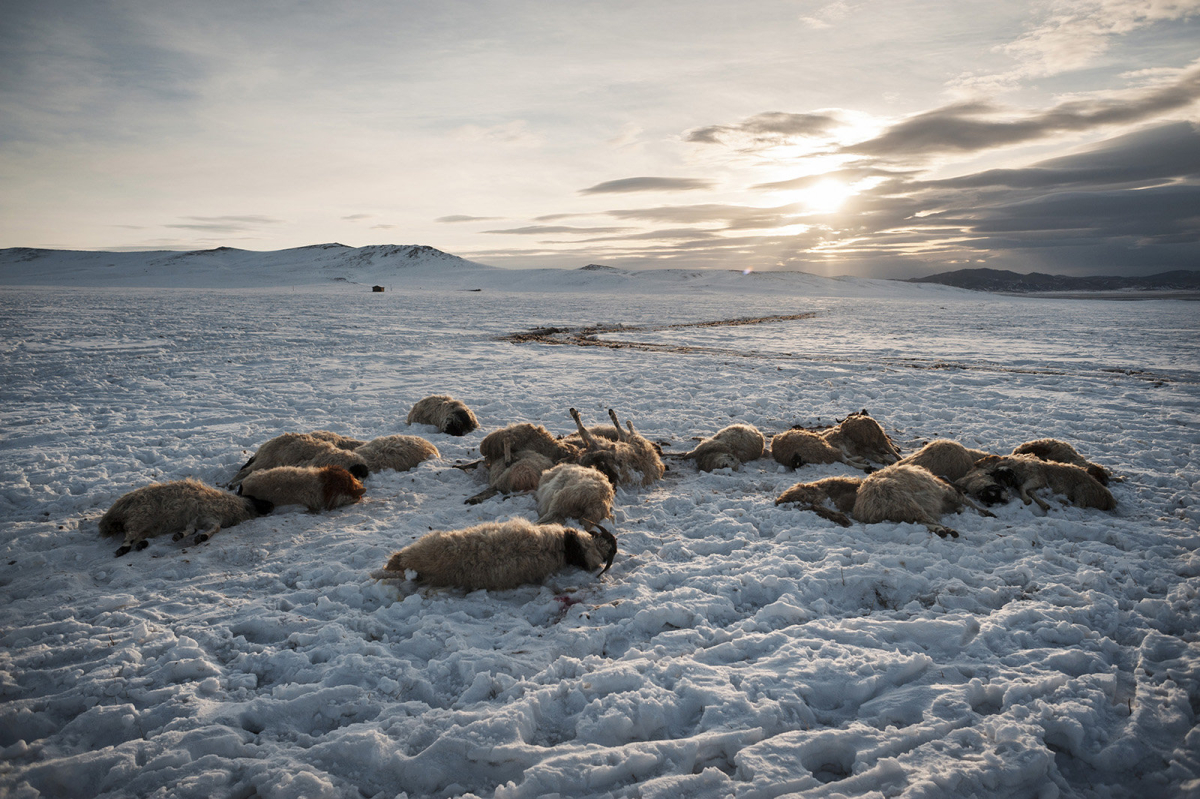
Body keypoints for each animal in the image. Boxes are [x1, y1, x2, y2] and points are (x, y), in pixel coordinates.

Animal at [99, 475, 274, 556]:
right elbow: (203, 528)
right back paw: (124, 548)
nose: (271, 505)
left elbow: (203, 529)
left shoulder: (207, 518)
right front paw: (191, 536)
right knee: (130, 533)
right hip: (141, 514)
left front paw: (194, 536)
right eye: (255, 497)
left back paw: (141, 544)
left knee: (137, 536)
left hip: (148, 524)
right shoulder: (203, 513)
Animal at [777, 460, 993, 535]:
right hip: (905, 502)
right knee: (926, 519)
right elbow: (968, 502)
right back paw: (946, 530)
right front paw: (987, 512)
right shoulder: (947, 492)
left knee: (921, 520)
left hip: (902, 508)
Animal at [955, 453, 1113, 511]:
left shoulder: (1037, 478)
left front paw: (1027, 500)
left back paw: (1064, 504)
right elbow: (1029, 491)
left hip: (1081, 489)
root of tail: (1109, 500)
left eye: (978, 466)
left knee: (1079, 505)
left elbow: (1023, 488)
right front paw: (1042, 503)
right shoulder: (1036, 482)